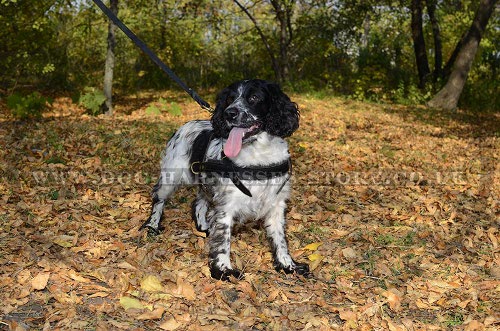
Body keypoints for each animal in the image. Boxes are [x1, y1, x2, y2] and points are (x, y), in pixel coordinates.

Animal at [141, 79, 308, 282]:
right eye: (229, 99)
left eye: (254, 97)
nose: (229, 113)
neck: (257, 157)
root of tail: (185, 125)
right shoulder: (226, 205)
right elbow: (223, 241)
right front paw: (223, 270)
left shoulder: (277, 204)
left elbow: (280, 238)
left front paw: (287, 265)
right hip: (170, 176)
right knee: (159, 198)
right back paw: (152, 225)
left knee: (199, 201)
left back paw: (203, 227)